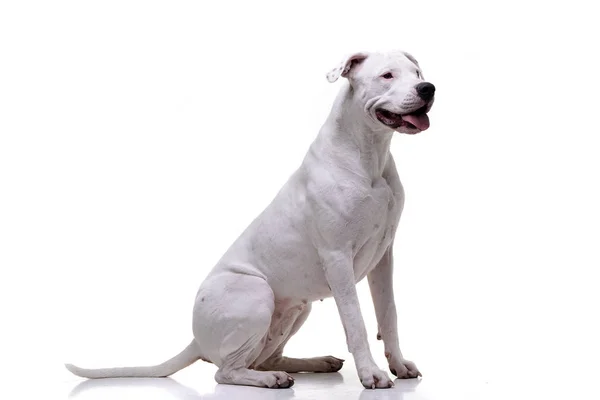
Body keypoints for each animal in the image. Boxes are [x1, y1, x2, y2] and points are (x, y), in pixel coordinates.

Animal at [67, 48, 436, 390]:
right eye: (387, 75)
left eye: (417, 73)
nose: (428, 87)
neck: (370, 153)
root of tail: (196, 339)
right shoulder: (338, 258)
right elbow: (356, 321)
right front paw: (371, 374)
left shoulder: (383, 256)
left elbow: (388, 313)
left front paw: (398, 365)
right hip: (257, 293)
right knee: (226, 371)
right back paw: (272, 379)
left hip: (297, 309)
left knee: (263, 358)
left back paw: (313, 363)